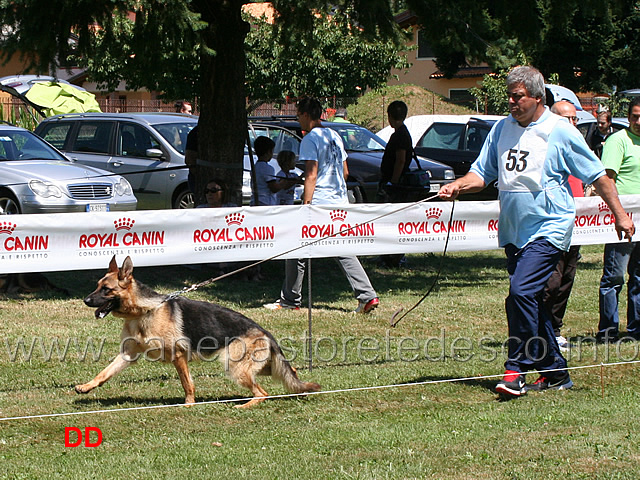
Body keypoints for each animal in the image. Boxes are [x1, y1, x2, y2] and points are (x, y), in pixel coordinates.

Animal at [75, 256, 322, 406]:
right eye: (97, 286)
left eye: (106, 290)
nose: (85, 300)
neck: (143, 312)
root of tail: (265, 333)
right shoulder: (128, 355)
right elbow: (104, 373)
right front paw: (86, 387)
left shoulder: (178, 356)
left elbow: (187, 383)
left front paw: (188, 404)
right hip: (260, 367)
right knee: (290, 373)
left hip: (234, 366)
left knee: (263, 393)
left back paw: (246, 405)